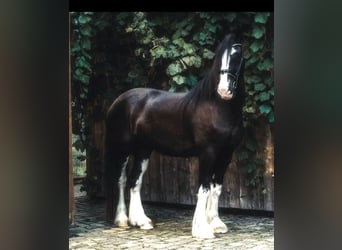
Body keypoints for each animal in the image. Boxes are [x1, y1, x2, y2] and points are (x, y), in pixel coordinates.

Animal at [105, 33, 244, 238]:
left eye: (237, 56)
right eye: (220, 58)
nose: (224, 90)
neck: (217, 107)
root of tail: (119, 100)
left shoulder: (226, 154)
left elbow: (216, 188)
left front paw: (216, 223)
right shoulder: (207, 153)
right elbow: (204, 187)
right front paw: (202, 229)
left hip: (143, 150)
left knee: (134, 181)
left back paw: (141, 221)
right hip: (123, 149)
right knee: (121, 180)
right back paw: (122, 219)